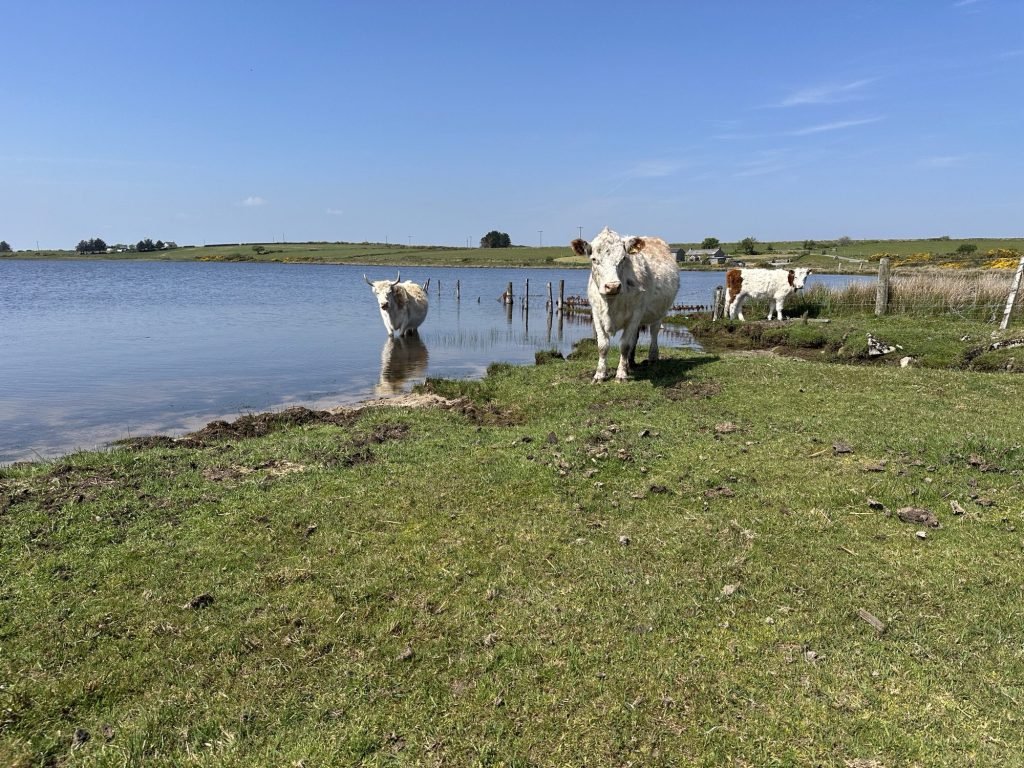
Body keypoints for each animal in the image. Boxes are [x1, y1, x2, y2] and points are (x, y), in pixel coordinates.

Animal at [571, 227, 680, 382]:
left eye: (623, 258)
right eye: (594, 259)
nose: (612, 286)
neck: (611, 304)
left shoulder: (636, 314)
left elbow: (624, 345)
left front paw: (621, 374)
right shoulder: (596, 314)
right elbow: (603, 345)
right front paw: (600, 374)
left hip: (660, 312)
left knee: (654, 332)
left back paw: (652, 358)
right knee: (635, 337)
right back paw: (631, 363)